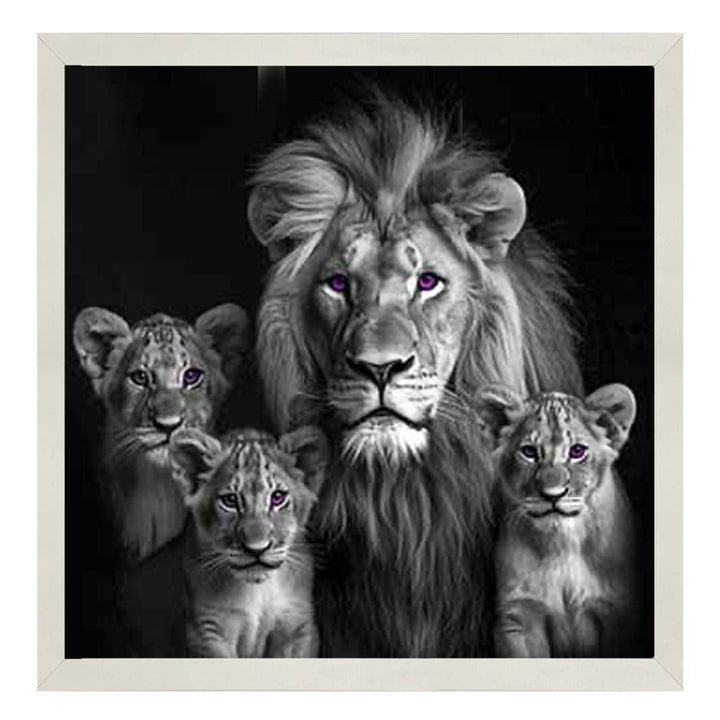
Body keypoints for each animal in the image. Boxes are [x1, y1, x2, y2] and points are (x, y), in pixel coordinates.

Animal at [169, 426, 328, 657]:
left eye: (277, 497)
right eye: (230, 501)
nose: (257, 549)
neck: (257, 590)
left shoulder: (297, 626)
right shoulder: (208, 632)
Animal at [475, 383, 637, 657]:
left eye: (577, 451)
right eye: (529, 452)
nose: (553, 495)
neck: (562, 543)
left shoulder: (618, 614)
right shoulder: (520, 616)